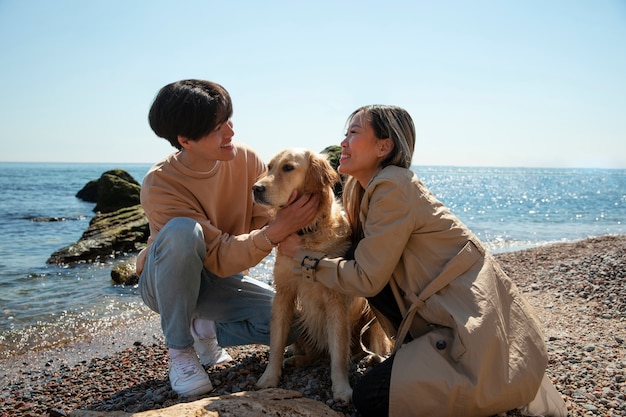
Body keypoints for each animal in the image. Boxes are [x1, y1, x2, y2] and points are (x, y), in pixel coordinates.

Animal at [250, 148, 388, 402]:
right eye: (269, 167)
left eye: (288, 168)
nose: (256, 188)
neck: (306, 233)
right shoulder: (283, 294)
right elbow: (276, 343)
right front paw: (269, 378)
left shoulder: (336, 301)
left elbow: (339, 352)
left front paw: (342, 388)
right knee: (314, 353)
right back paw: (297, 359)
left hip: (371, 317)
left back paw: (370, 357)